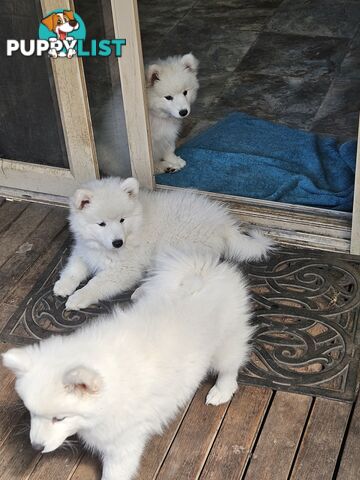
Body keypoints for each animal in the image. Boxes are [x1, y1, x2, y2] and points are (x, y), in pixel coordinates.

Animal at [2, 251, 253, 480]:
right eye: (31, 412)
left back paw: (220, 391)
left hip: (226, 342)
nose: (36, 447)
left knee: (230, 367)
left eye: (60, 418)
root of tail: (203, 271)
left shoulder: (123, 445)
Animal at [53, 177, 272, 312]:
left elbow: (97, 282)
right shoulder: (84, 250)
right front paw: (63, 285)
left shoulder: (124, 269)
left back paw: (141, 292)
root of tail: (222, 224)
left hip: (171, 246)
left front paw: (78, 297)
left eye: (122, 220)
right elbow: (73, 268)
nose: (118, 242)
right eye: (101, 224)